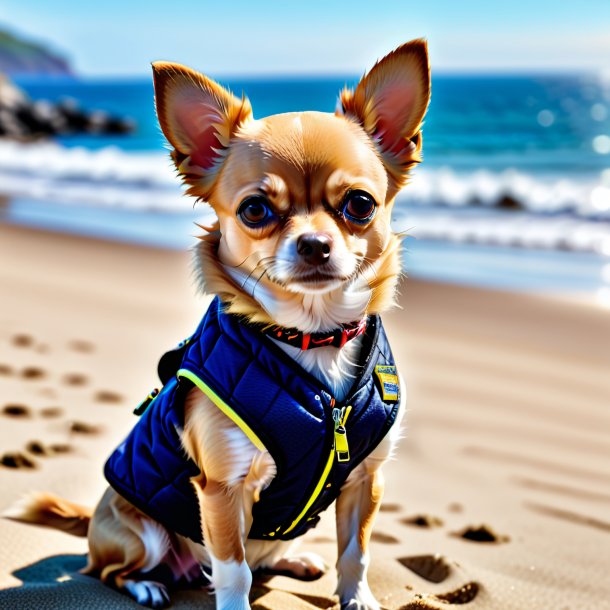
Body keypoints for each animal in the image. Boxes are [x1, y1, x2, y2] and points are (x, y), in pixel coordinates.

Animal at [7, 39, 430, 608]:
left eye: (360, 204)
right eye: (254, 210)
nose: (314, 244)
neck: (311, 336)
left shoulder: (365, 479)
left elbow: (355, 552)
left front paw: (358, 598)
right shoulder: (222, 490)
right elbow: (233, 568)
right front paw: (234, 604)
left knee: (266, 555)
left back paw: (293, 559)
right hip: (141, 534)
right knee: (109, 570)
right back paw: (146, 585)